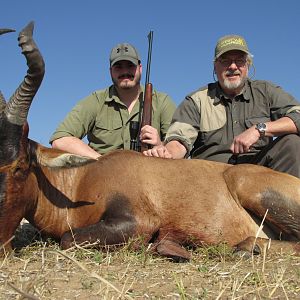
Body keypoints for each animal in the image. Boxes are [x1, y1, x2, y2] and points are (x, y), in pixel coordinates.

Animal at [0, 22, 300, 262]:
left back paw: (245, 249)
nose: (2, 247)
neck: (82, 180)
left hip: (249, 186)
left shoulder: (140, 220)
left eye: (21, 166)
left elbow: (67, 239)